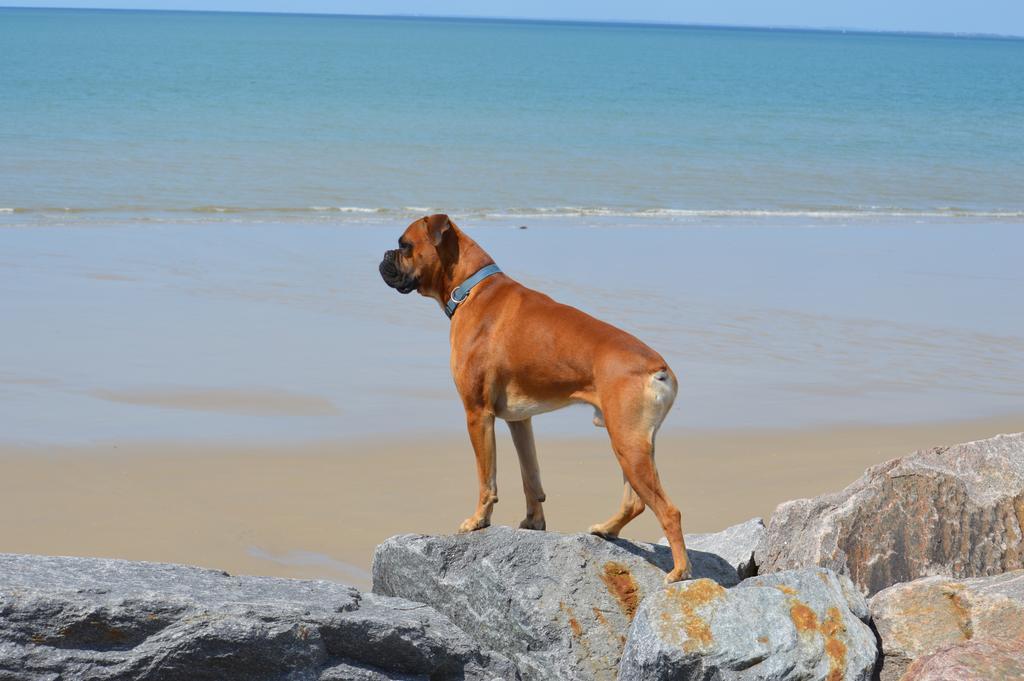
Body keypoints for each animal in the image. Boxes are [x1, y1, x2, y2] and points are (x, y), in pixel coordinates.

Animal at [380, 215, 692, 581]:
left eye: (404, 245)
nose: (384, 255)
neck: (469, 288)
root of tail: (660, 368)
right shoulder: (520, 420)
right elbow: (531, 477)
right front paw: (533, 523)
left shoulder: (477, 414)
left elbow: (487, 479)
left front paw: (478, 522)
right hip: (632, 444)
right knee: (636, 502)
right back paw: (606, 529)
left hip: (627, 445)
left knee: (669, 511)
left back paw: (680, 571)